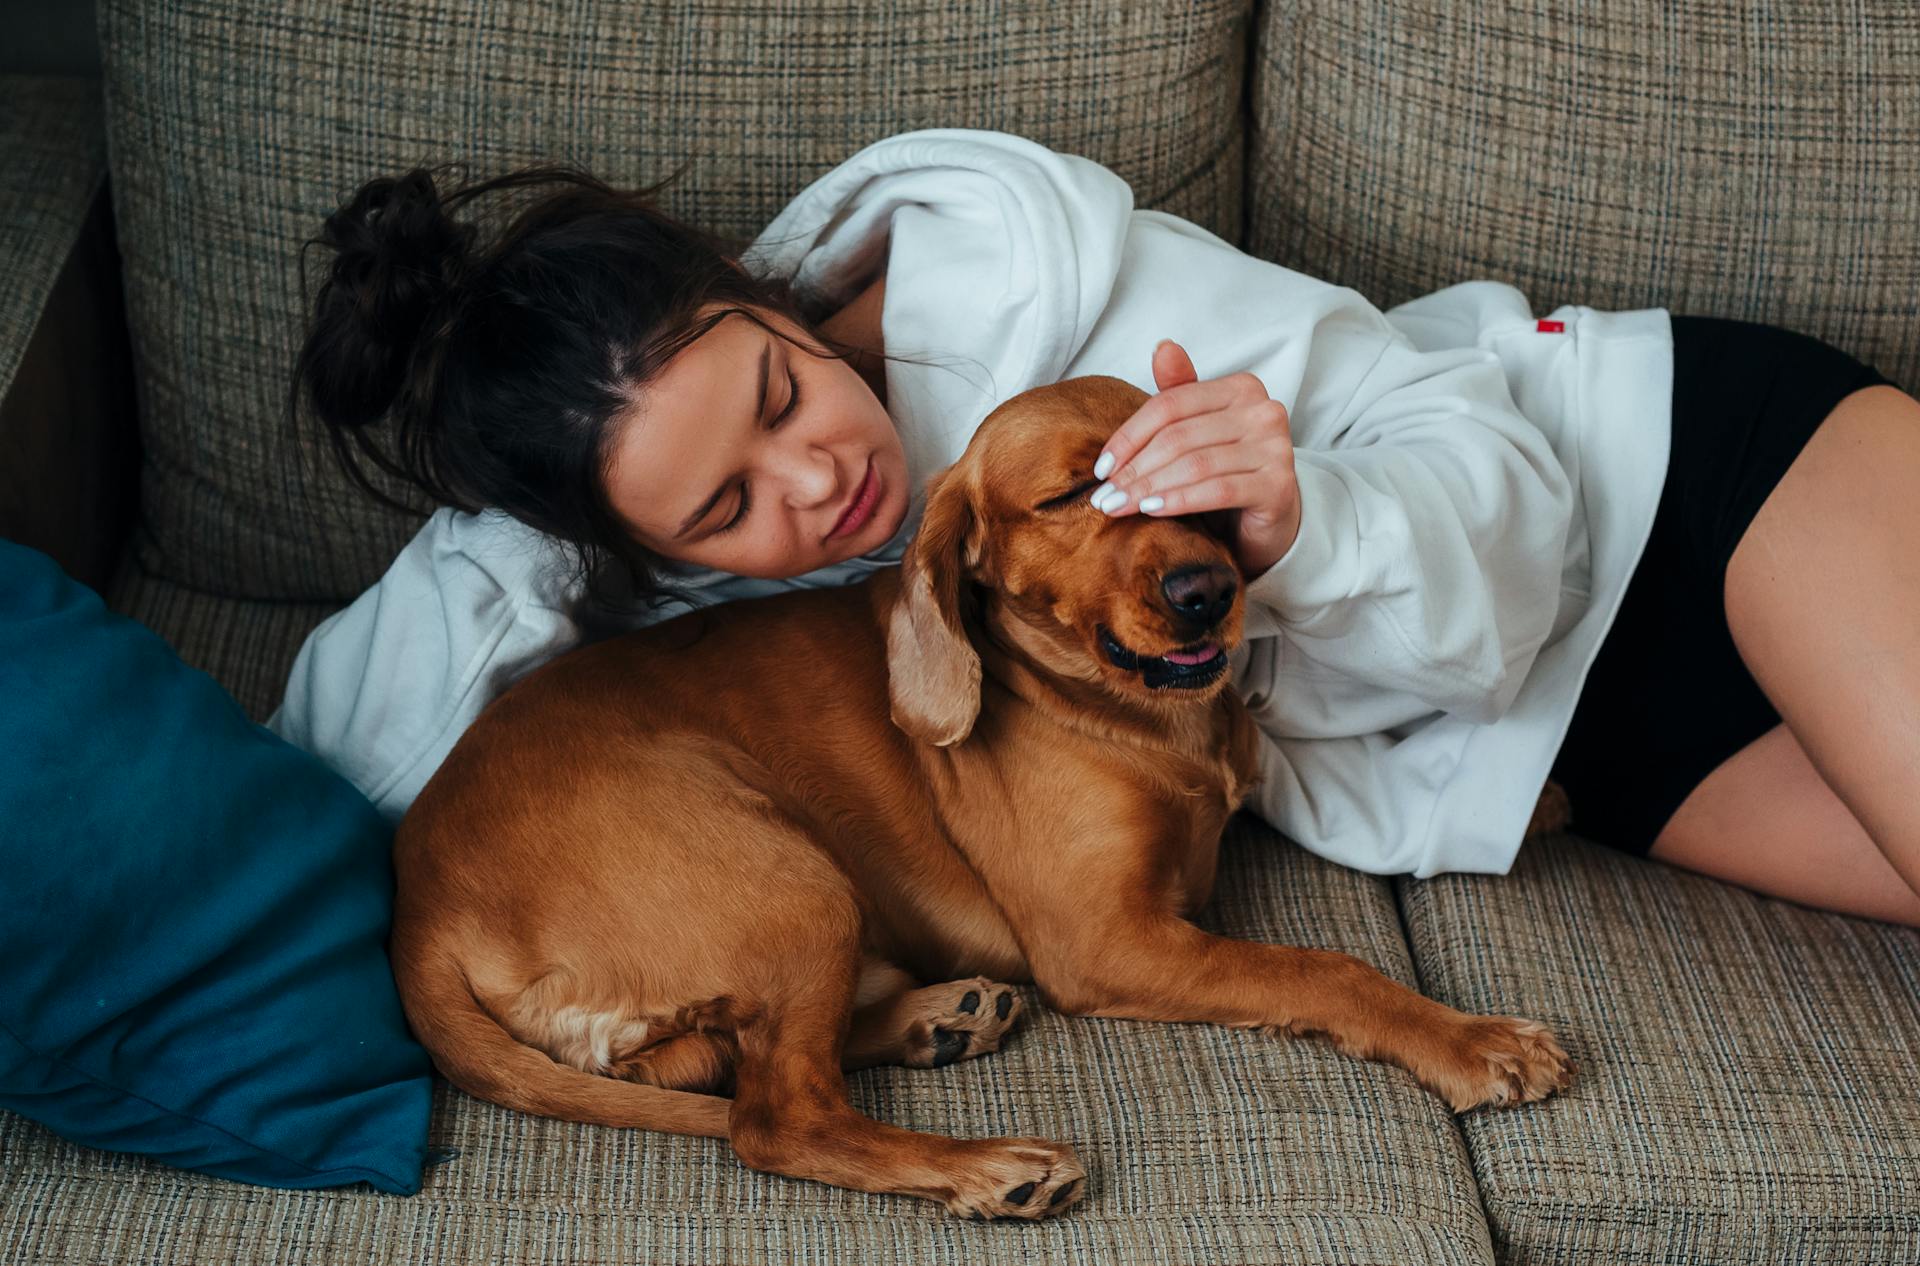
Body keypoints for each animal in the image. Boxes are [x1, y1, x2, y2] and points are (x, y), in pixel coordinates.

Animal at [389, 374, 1574, 1221]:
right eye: (1066, 498)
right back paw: (983, 1163)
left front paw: (1547, 799)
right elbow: (1327, 969)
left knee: (709, 1062)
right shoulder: (1109, 940)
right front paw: (1470, 1040)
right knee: (771, 1115)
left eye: (1195, 493)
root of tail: (416, 908)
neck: (1138, 720)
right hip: (791, 879)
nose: (1210, 593)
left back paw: (938, 1019)